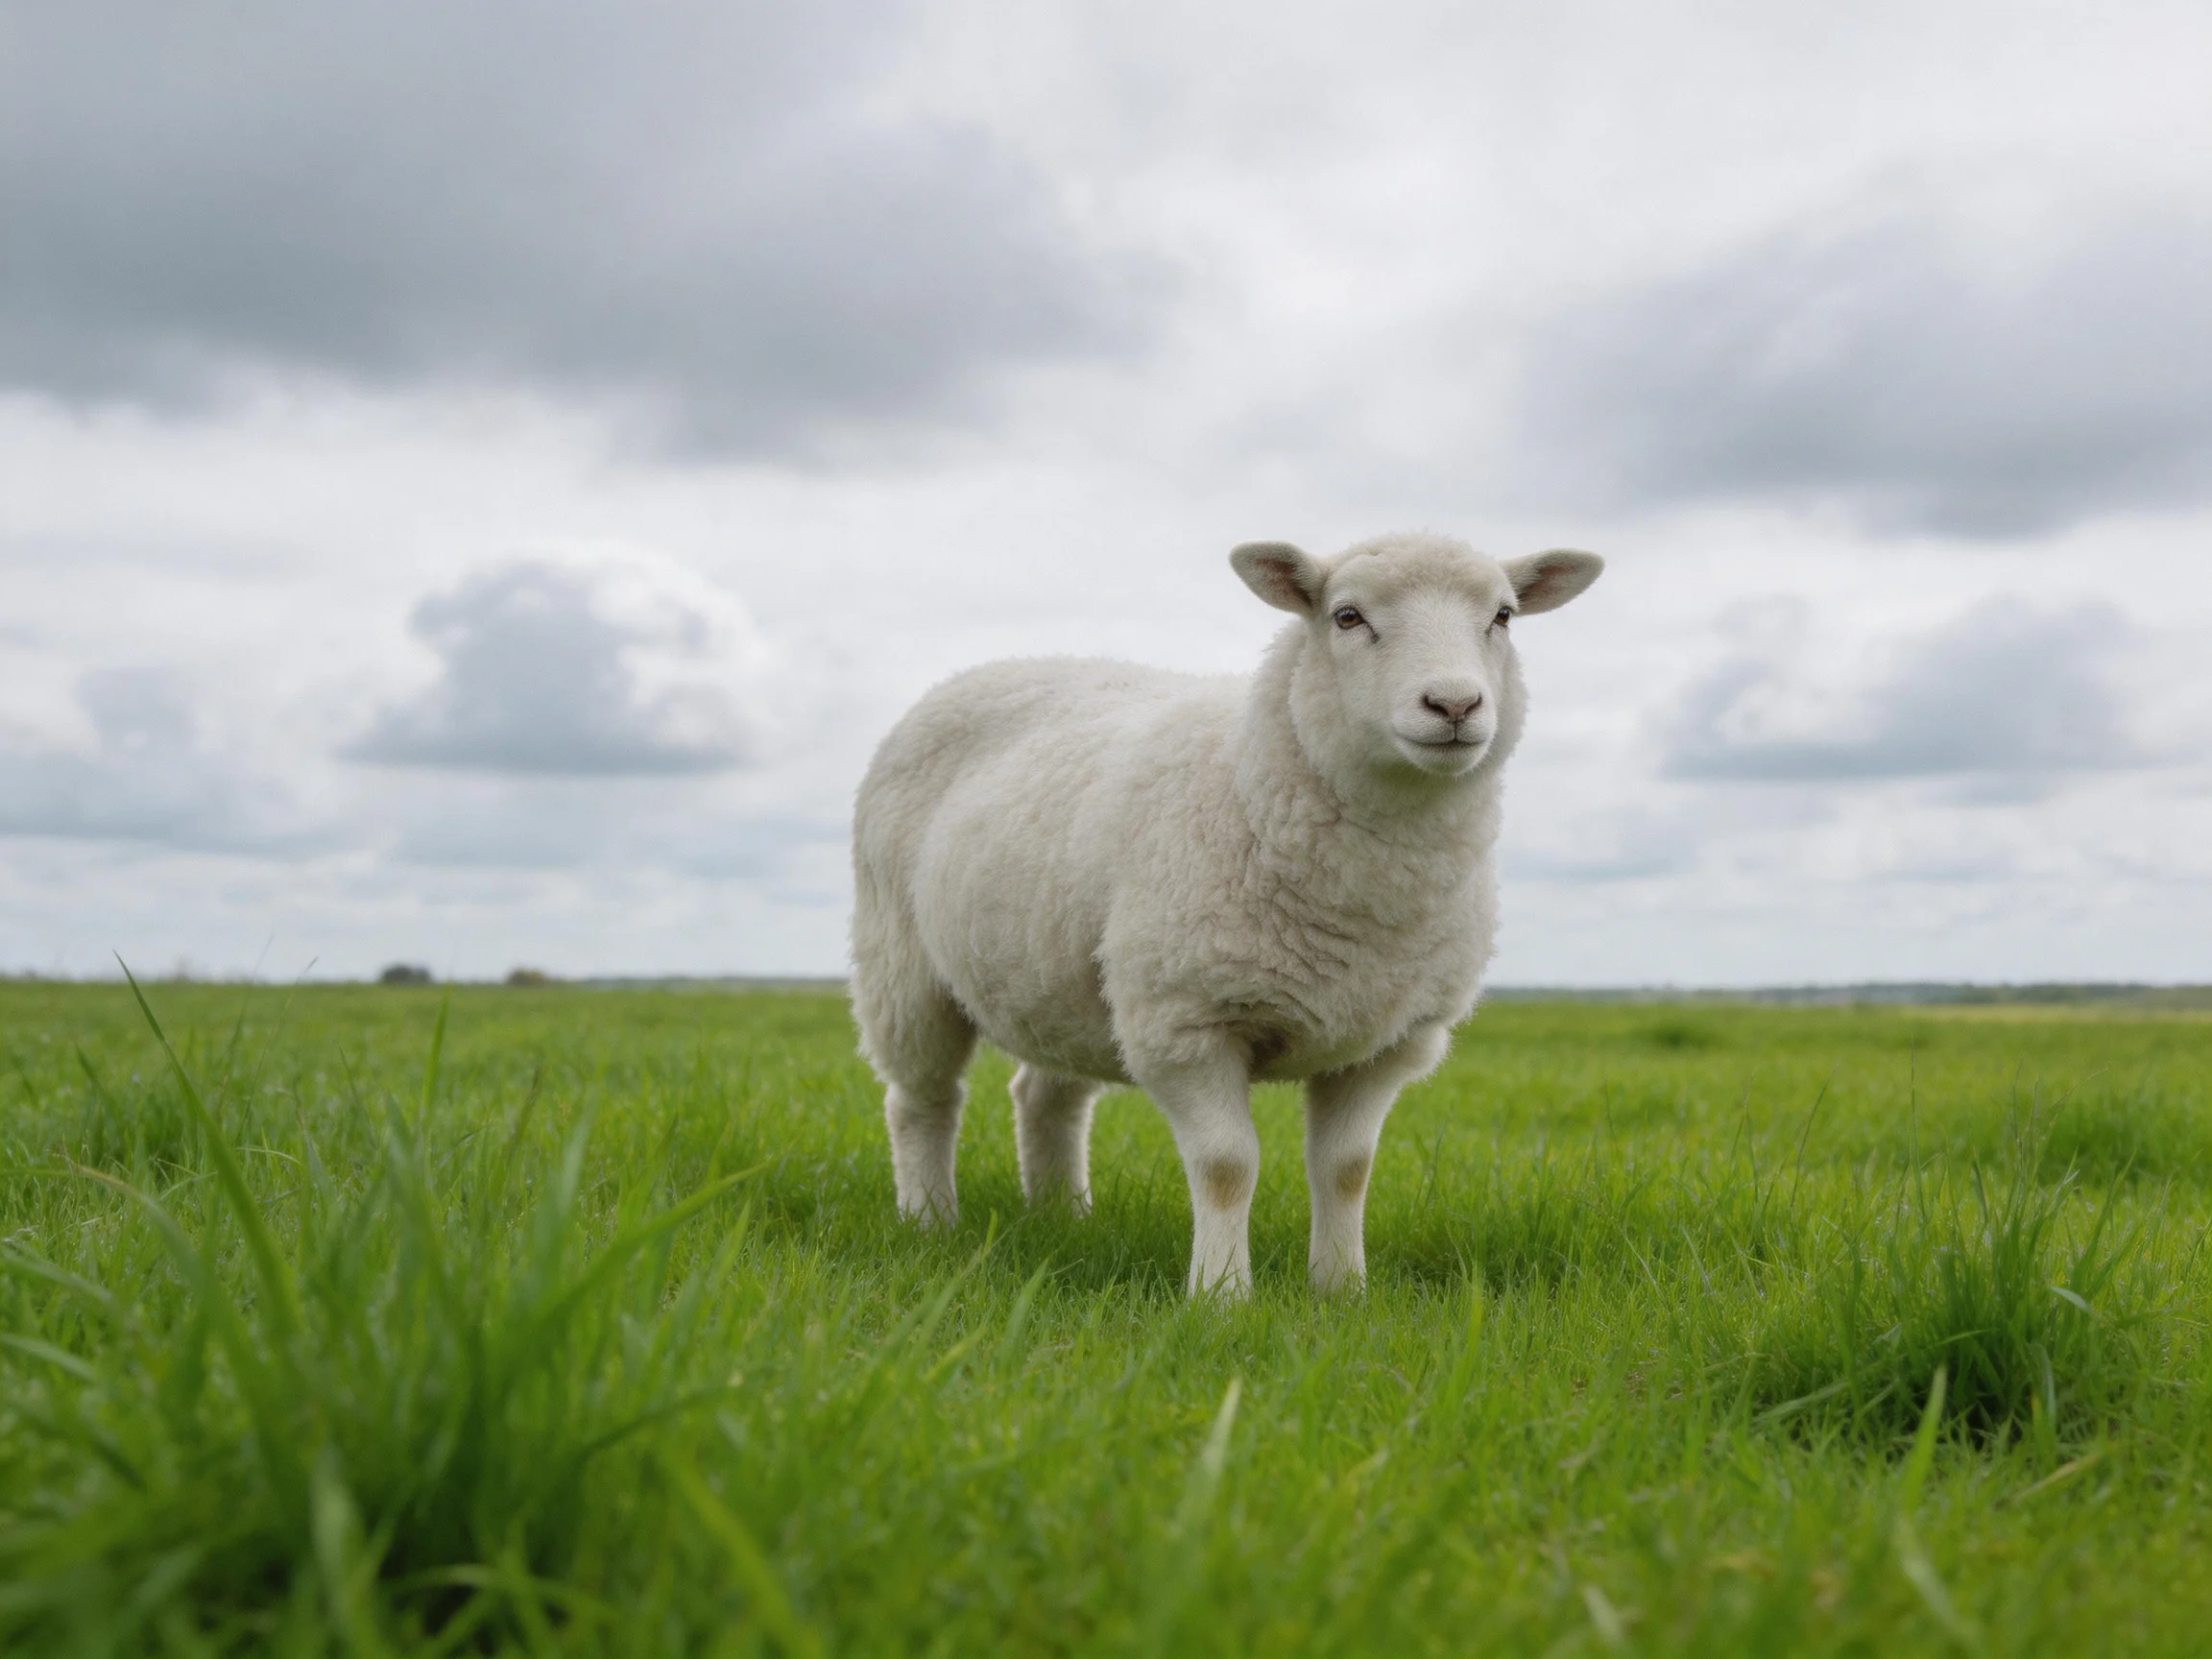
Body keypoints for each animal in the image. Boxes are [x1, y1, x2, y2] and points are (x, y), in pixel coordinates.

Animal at [849, 531, 1603, 1296]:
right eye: (1347, 616)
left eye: (1503, 616)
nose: (1454, 704)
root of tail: (989, 667)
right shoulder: (1185, 1020)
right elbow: (1226, 1167)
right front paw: (1220, 1296)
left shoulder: (1388, 1041)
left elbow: (1347, 1169)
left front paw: (1341, 1291)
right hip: (900, 964)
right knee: (921, 1100)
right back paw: (930, 1219)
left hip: (1063, 978)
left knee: (1045, 1096)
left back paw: (1064, 1219)